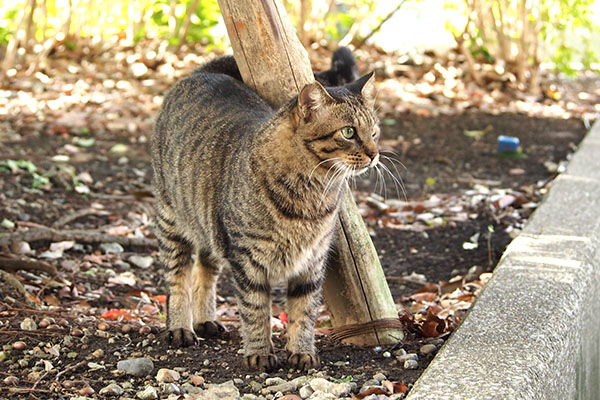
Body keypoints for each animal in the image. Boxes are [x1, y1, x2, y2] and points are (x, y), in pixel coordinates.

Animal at [152, 49, 382, 372]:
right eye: (348, 132)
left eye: (374, 131)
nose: (375, 153)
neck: (312, 194)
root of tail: (206, 71)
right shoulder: (247, 261)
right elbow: (256, 310)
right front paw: (259, 352)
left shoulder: (312, 263)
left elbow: (304, 312)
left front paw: (301, 352)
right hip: (172, 220)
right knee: (178, 279)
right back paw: (180, 327)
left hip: (210, 227)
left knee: (205, 270)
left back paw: (205, 319)